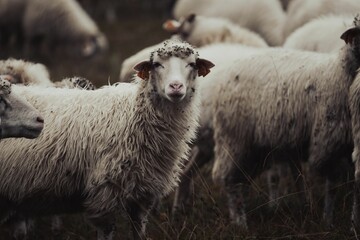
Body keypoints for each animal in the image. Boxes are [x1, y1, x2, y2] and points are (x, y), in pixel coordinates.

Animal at [0, 38, 214, 239]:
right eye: (157, 64)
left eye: (192, 64)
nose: (175, 87)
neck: (132, 115)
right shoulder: (104, 198)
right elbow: (107, 230)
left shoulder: (142, 197)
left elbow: (139, 231)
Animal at [210, 15, 360, 228]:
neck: (340, 69)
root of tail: (227, 73)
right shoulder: (328, 142)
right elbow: (332, 185)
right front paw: (328, 220)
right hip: (234, 139)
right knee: (229, 179)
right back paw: (240, 222)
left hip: (256, 149)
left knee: (241, 181)